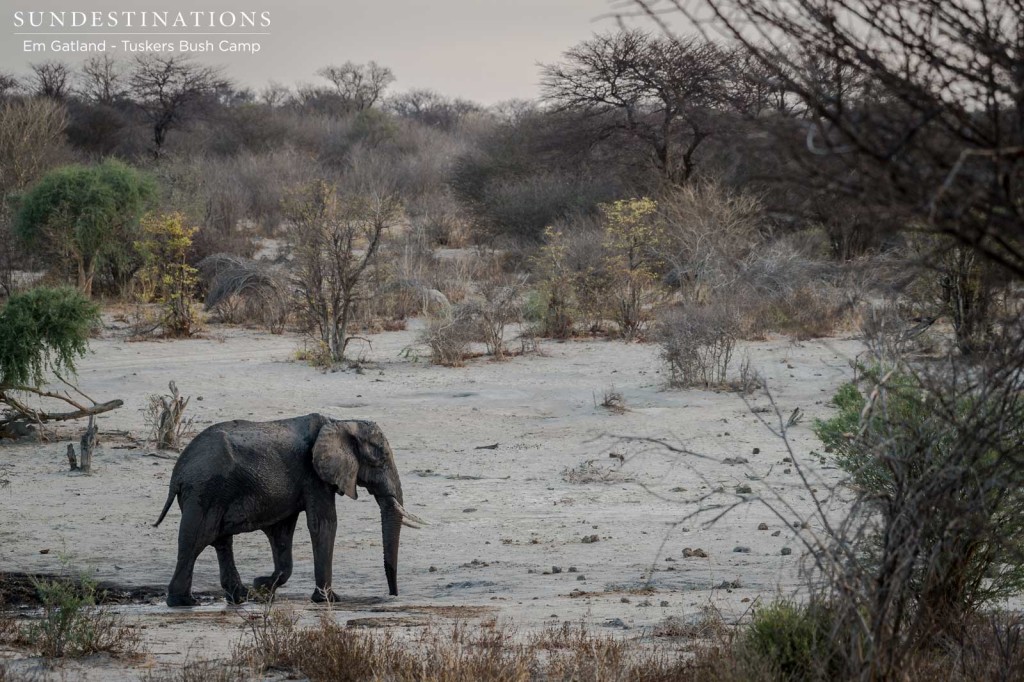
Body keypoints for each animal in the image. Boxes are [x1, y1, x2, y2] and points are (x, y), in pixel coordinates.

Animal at [152, 411, 423, 602]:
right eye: (380, 458)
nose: (393, 595)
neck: (340, 422)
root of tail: (177, 473)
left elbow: (282, 532)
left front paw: (262, 585)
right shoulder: (314, 475)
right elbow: (324, 524)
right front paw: (328, 600)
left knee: (220, 540)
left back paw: (240, 597)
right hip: (205, 491)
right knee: (197, 539)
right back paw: (184, 602)